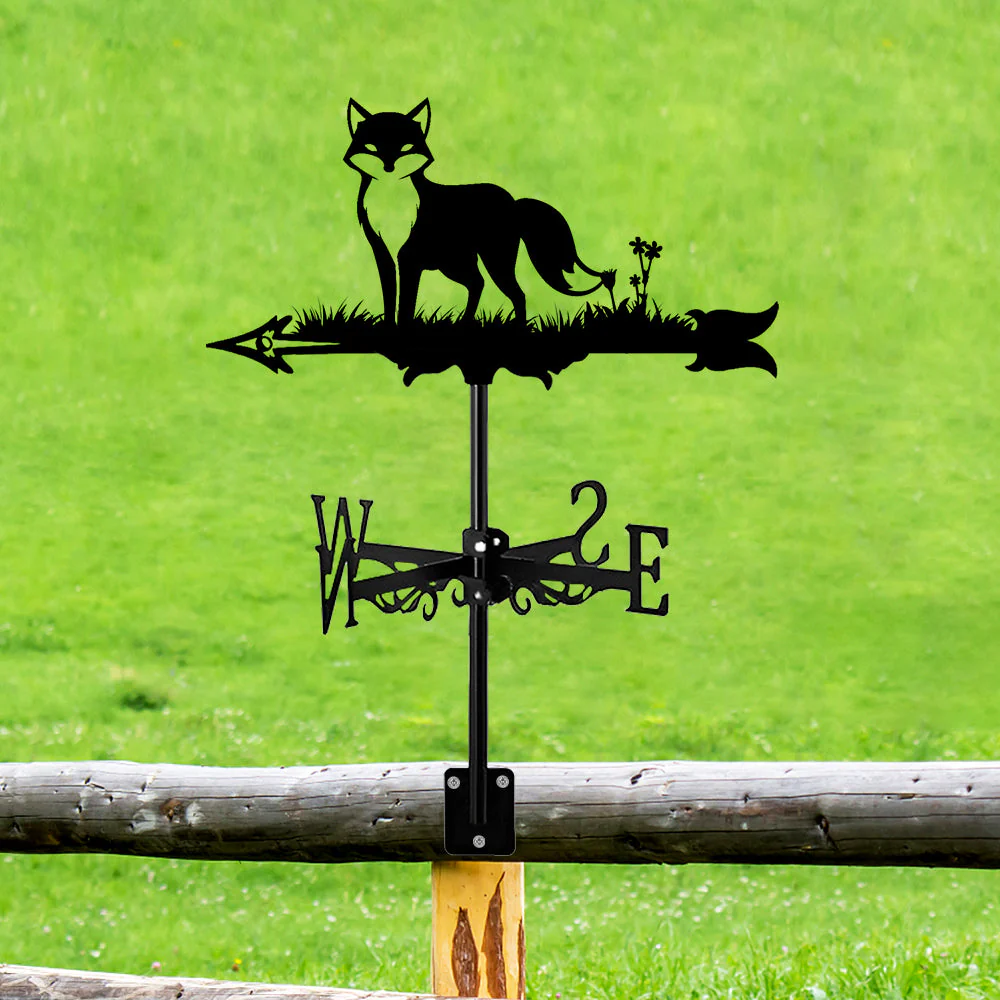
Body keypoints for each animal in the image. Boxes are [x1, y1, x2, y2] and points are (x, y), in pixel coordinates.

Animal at [344, 98, 610, 326]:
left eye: (406, 147)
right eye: (372, 147)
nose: (389, 166)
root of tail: (513, 202)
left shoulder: (410, 256)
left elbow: (407, 302)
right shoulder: (382, 252)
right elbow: (389, 295)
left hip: (489, 259)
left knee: (515, 293)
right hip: (455, 262)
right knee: (478, 283)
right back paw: (464, 324)